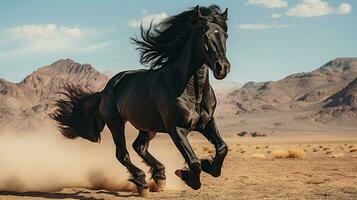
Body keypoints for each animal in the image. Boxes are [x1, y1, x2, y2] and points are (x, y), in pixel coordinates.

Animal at [50, 4, 229, 197]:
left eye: (225, 35)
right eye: (205, 35)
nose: (222, 67)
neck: (191, 90)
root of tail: (106, 89)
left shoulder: (206, 122)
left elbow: (222, 148)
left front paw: (208, 165)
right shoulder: (176, 128)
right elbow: (194, 162)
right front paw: (185, 174)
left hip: (148, 126)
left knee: (139, 147)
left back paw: (159, 176)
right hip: (116, 123)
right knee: (123, 154)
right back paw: (142, 182)